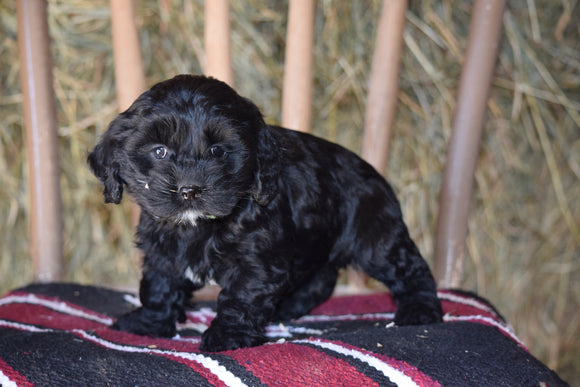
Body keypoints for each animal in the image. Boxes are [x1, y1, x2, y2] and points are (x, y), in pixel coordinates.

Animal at [88, 74, 442, 354]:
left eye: (218, 150)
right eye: (159, 151)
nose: (188, 190)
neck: (197, 226)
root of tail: (374, 172)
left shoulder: (255, 260)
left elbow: (240, 298)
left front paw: (228, 336)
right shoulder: (162, 251)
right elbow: (159, 287)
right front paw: (150, 322)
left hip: (377, 238)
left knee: (411, 270)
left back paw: (420, 311)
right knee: (321, 279)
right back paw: (288, 307)